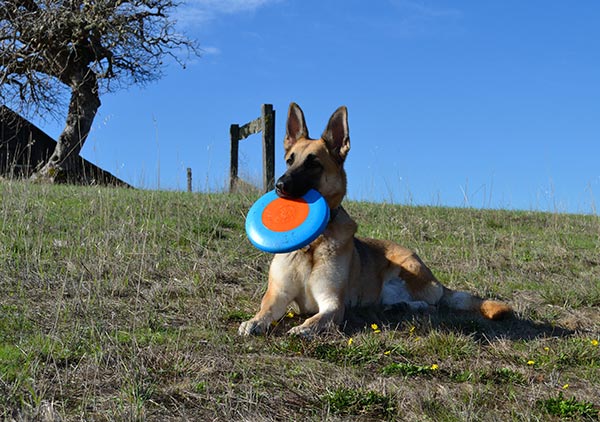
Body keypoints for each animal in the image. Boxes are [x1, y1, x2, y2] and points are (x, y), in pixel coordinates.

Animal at [239, 103, 510, 336]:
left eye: (313, 164)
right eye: (289, 160)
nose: (279, 186)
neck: (313, 243)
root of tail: (437, 282)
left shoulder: (332, 303)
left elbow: (318, 318)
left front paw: (304, 328)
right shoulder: (278, 295)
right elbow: (265, 310)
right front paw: (253, 322)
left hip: (407, 270)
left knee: (432, 305)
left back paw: (410, 307)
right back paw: (397, 307)